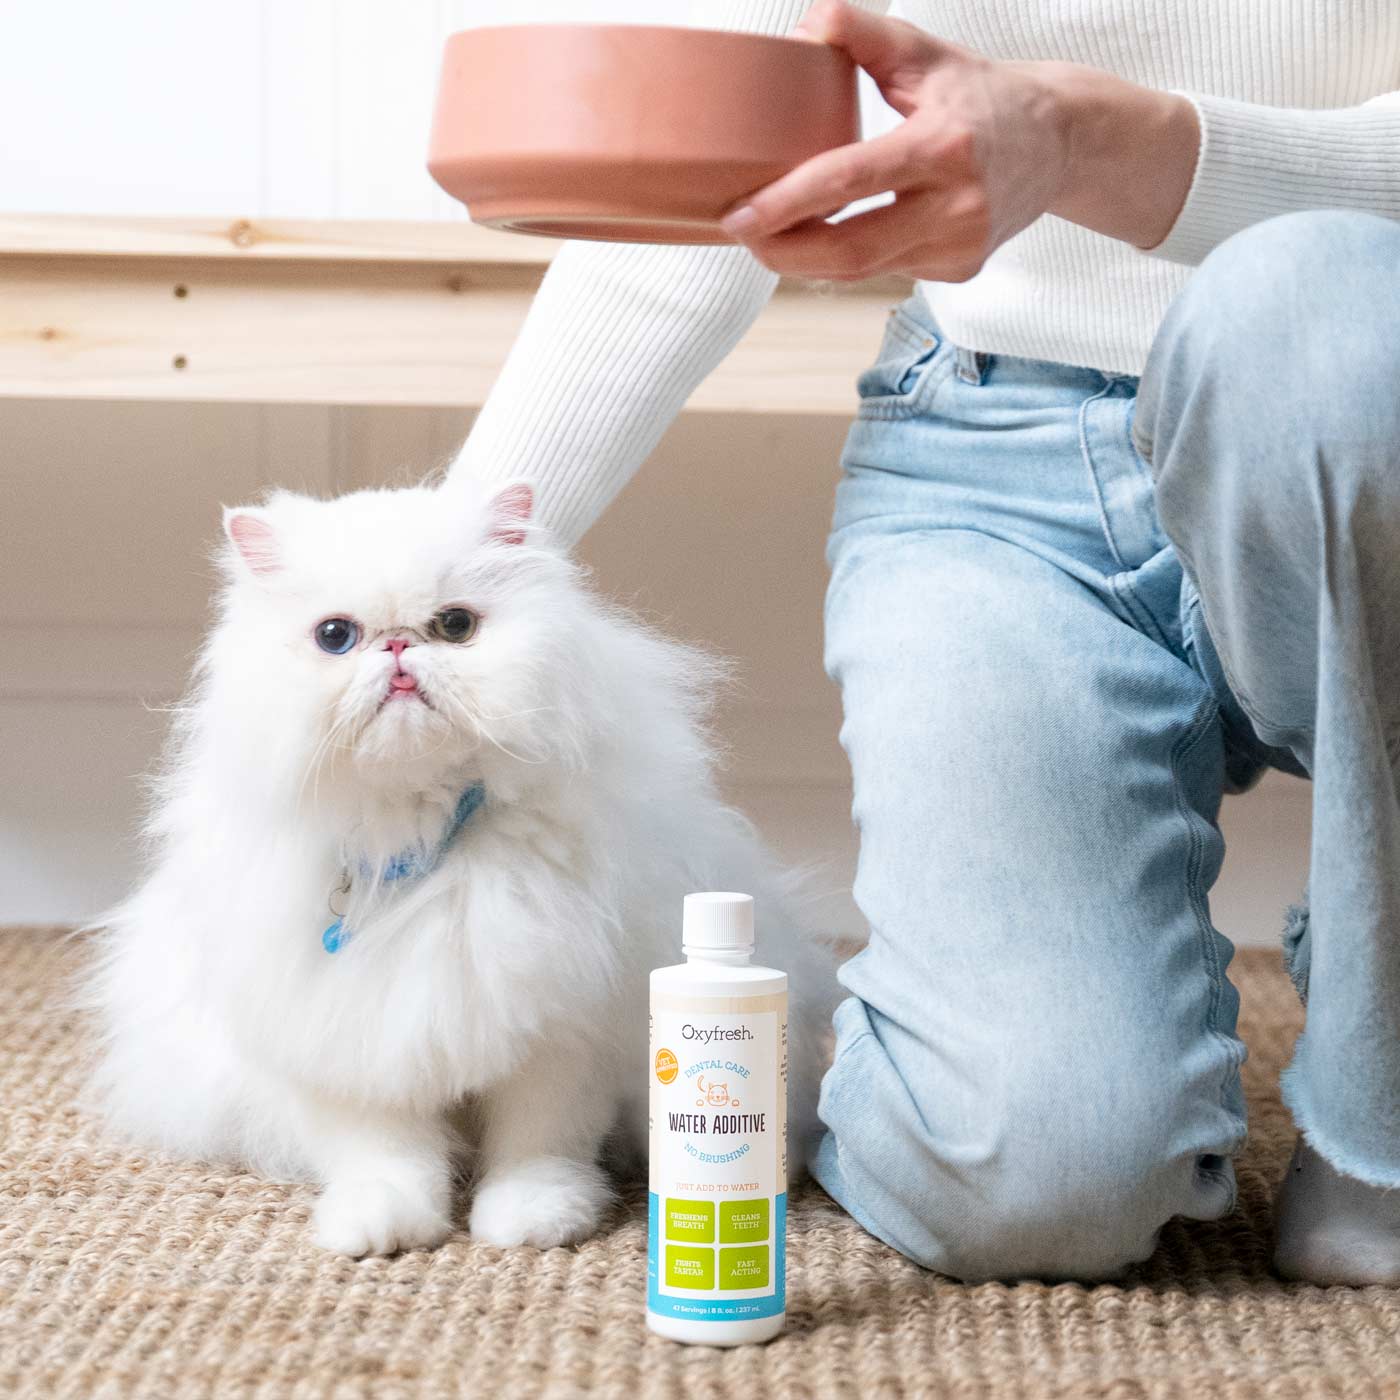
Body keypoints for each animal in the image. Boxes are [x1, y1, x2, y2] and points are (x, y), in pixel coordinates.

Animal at [84, 481, 840, 1260]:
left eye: (454, 626)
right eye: (335, 636)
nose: (397, 646)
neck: (421, 842)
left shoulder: (561, 1035)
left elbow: (539, 1148)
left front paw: (533, 1223)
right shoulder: (354, 1047)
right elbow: (388, 1160)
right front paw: (380, 1230)